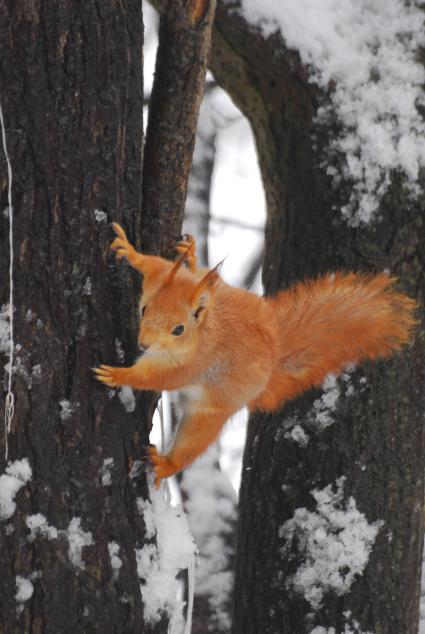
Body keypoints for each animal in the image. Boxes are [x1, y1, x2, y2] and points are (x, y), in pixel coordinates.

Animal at [93, 222, 414, 484]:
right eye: (144, 308)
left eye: (179, 330)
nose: (144, 344)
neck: (206, 330)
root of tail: (272, 360)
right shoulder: (165, 278)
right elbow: (153, 264)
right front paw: (129, 250)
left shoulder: (191, 366)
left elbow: (155, 378)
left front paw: (118, 375)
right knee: (204, 276)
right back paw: (192, 256)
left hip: (210, 414)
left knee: (191, 445)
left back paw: (165, 464)